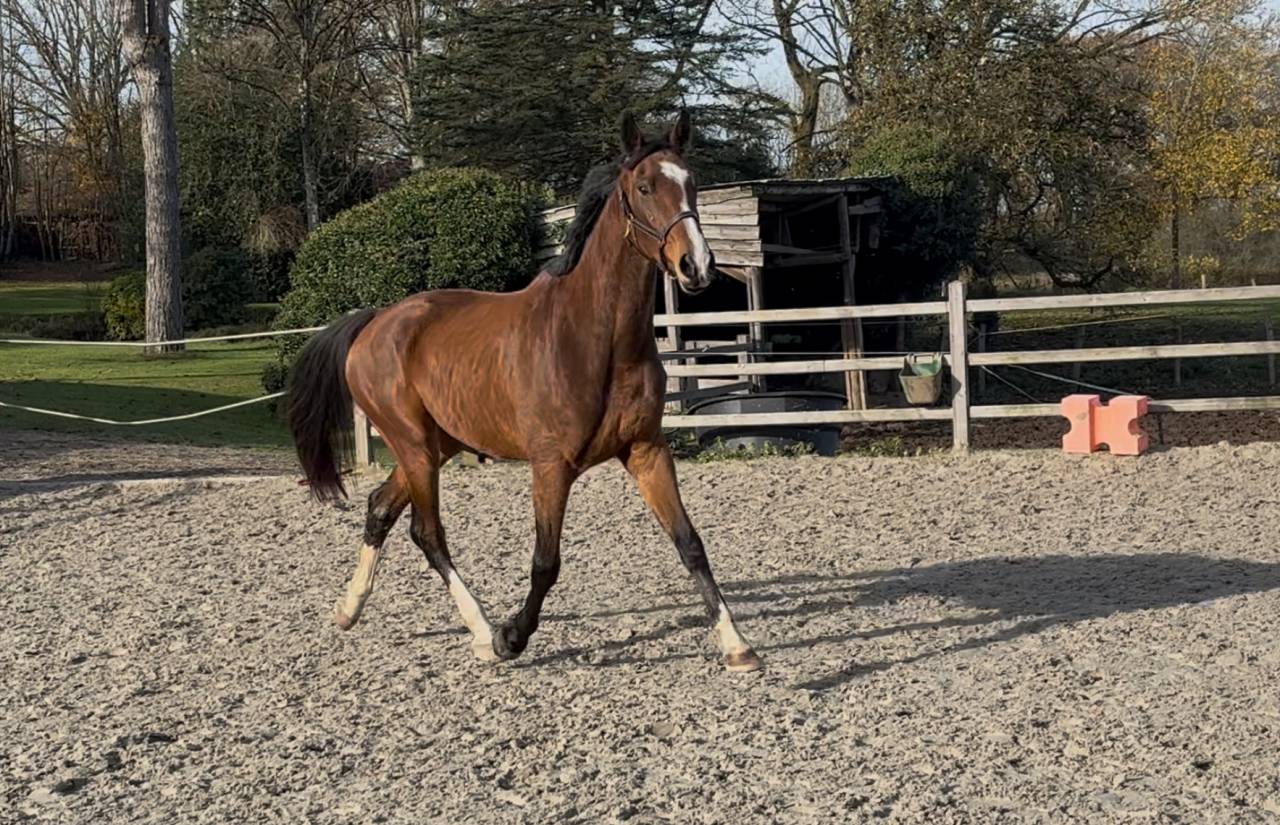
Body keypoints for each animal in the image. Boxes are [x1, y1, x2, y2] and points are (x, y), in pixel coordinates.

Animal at [285, 110, 761, 673]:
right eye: (644, 187)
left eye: (691, 183)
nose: (698, 267)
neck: (597, 340)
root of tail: (375, 321)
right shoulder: (551, 464)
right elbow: (545, 562)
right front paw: (513, 636)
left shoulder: (646, 450)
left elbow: (690, 543)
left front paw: (737, 645)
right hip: (415, 447)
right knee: (428, 533)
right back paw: (483, 632)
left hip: (435, 446)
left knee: (381, 507)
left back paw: (348, 610)